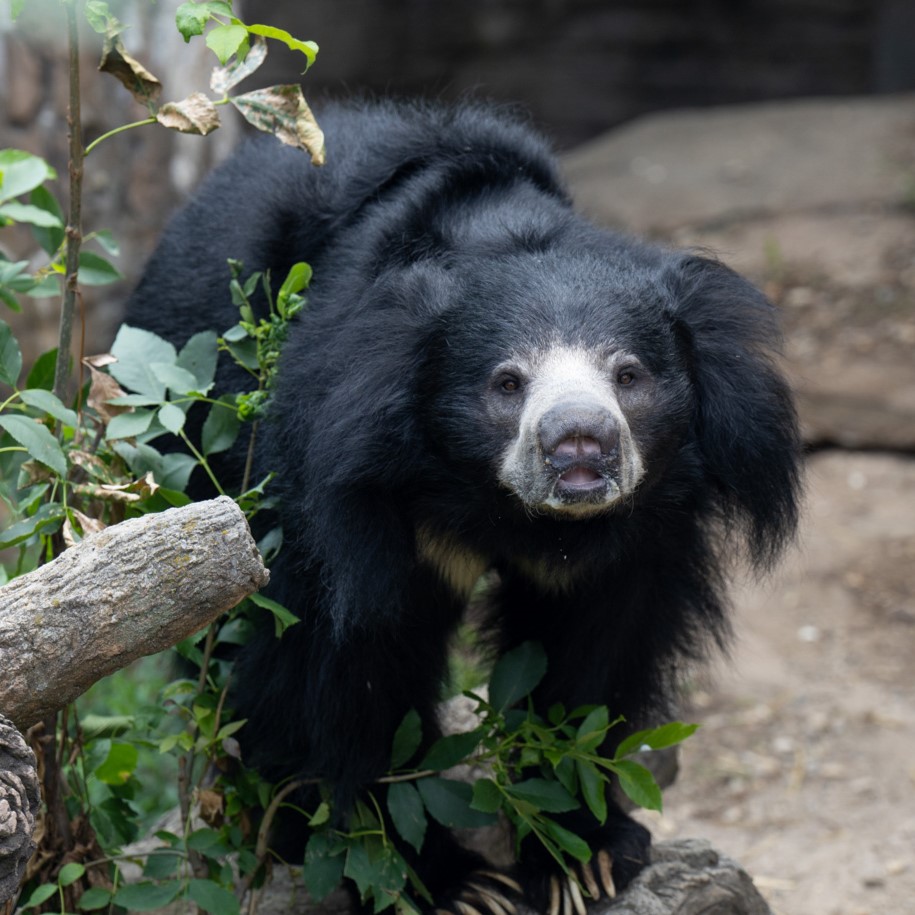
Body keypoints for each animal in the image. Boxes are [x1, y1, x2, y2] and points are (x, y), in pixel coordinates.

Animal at [127, 98, 800, 908]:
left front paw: (586, 854)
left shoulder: (631, 533)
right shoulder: (353, 491)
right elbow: (344, 660)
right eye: (506, 382)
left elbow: (590, 653)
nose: (580, 444)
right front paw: (442, 879)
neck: (507, 508)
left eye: (629, 374)